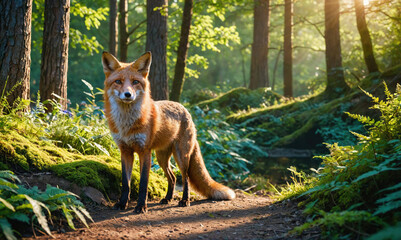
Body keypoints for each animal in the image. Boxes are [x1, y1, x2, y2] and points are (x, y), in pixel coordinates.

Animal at [101, 51, 236, 213]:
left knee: (185, 178)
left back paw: (184, 200)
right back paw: (167, 198)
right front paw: (122, 204)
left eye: (135, 82)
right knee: (172, 177)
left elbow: (143, 183)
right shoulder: (125, 151)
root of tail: (184, 109)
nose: (128, 94)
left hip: (181, 156)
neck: (126, 123)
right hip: (162, 158)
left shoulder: (144, 151)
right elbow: (125, 183)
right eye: (118, 81)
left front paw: (141, 206)